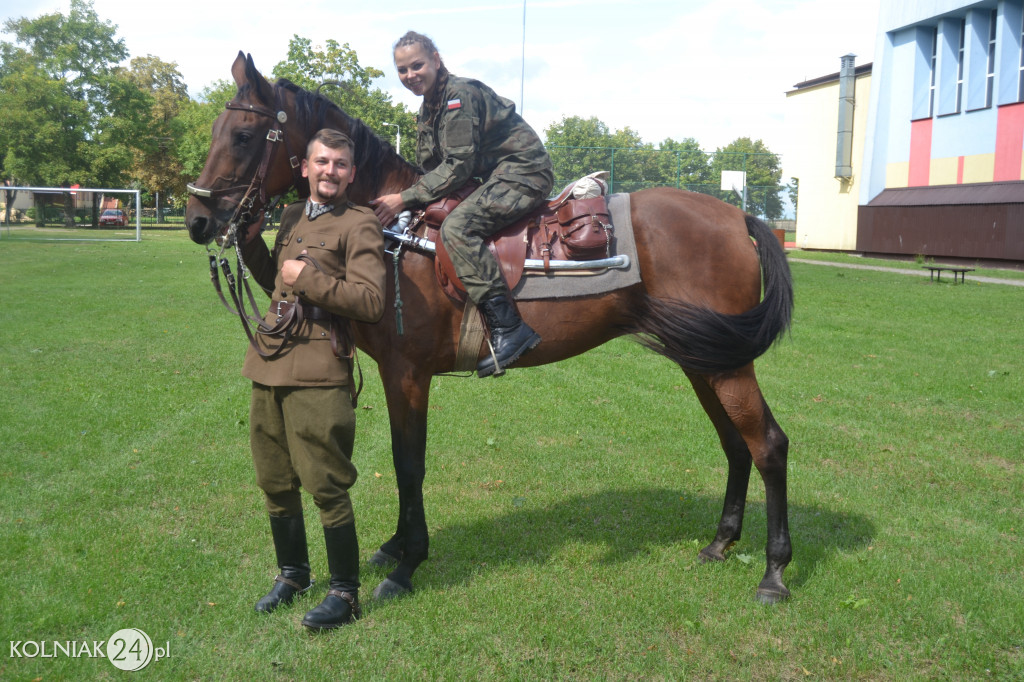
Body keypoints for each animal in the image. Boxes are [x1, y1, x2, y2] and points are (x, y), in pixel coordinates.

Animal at [184, 53, 794, 602]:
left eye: (242, 134)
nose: (198, 220)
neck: (398, 233)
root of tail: (737, 215)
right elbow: (405, 464)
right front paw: (396, 546)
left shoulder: (407, 374)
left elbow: (409, 464)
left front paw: (407, 564)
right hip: (703, 359)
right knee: (736, 445)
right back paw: (721, 543)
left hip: (727, 364)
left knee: (767, 444)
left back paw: (774, 573)